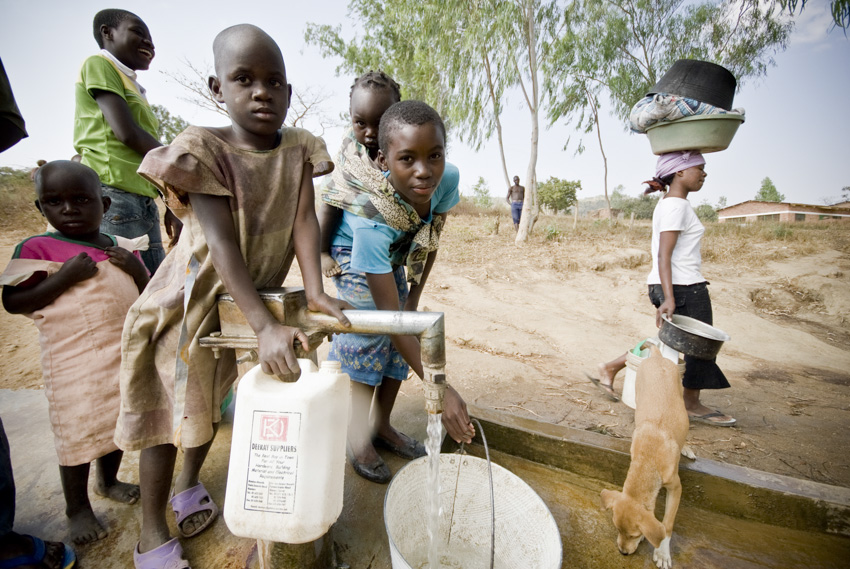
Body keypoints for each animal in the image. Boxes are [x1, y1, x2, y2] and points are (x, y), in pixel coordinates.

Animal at [596, 342, 688, 568]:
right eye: (617, 529)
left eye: (635, 535)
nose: (622, 553)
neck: (649, 457)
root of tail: (657, 357)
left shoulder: (676, 486)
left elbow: (667, 524)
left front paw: (662, 552)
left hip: (681, 392)